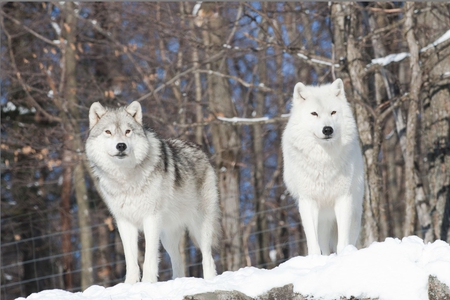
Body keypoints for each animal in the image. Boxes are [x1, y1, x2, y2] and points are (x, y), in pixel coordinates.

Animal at [85, 101, 221, 284]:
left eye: (128, 131)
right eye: (108, 132)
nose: (121, 146)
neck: (125, 178)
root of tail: (201, 151)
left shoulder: (151, 218)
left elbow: (149, 257)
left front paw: (148, 283)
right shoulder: (124, 221)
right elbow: (131, 260)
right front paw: (130, 284)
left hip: (200, 226)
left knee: (208, 257)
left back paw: (210, 281)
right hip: (167, 236)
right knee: (178, 261)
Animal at [284, 78, 364, 255]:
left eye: (333, 112)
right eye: (314, 114)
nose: (327, 129)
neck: (323, 161)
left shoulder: (343, 199)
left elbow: (342, 243)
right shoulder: (308, 201)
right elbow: (313, 245)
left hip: (354, 215)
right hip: (323, 221)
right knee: (324, 245)